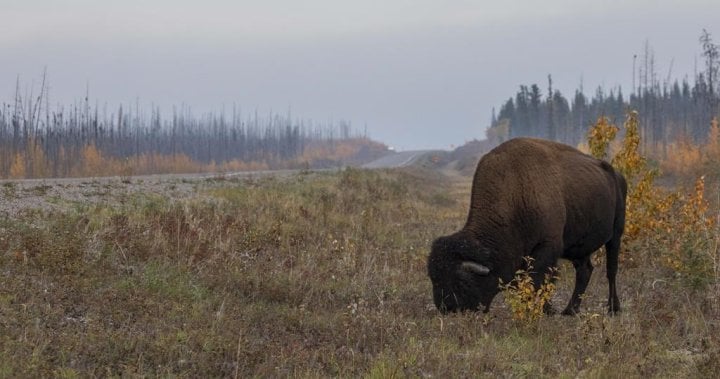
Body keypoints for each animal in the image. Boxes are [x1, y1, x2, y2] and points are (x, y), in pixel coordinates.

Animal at [428, 138, 624, 316]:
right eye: (433, 278)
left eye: (462, 281)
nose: (446, 308)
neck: (516, 193)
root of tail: (616, 174)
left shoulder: (548, 246)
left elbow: (540, 279)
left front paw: (545, 309)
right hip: (580, 247)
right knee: (585, 271)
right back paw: (570, 310)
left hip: (616, 235)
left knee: (611, 271)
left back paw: (613, 308)